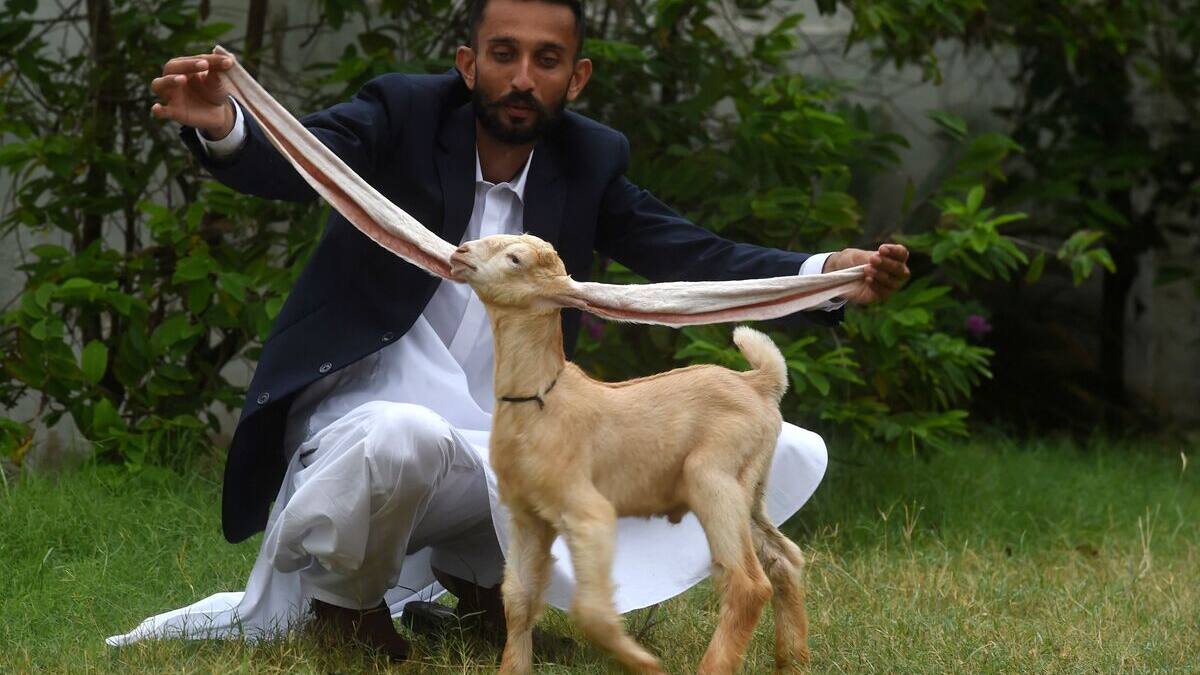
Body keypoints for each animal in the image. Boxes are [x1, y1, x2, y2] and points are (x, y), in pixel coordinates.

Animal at [453, 233, 811, 672]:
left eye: (515, 259)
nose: (460, 253)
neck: (541, 399)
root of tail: (758, 383)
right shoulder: (527, 517)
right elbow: (519, 600)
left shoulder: (588, 513)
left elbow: (590, 611)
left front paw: (644, 663)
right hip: (751, 487)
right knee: (784, 559)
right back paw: (794, 660)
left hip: (714, 479)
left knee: (747, 583)